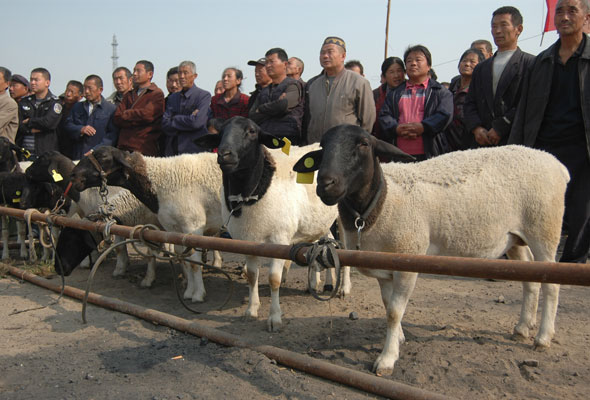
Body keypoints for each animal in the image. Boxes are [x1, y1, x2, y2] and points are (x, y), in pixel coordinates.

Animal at [71, 145, 224, 302]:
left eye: (103, 156)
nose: (73, 175)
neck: (159, 182)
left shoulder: (192, 225)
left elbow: (193, 262)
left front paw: (198, 294)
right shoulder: (174, 228)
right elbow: (185, 260)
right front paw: (188, 292)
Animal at [194, 116, 344, 332]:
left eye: (251, 132)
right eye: (221, 133)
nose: (224, 154)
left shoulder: (278, 238)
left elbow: (274, 279)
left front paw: (274, 318)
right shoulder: (247, 241)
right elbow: (252, 275)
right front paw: (251, 310)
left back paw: (343, 288)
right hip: (318, 222)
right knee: (324, 244)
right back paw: (320, 284)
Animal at [294, 124, 572, 376]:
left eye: (363, 143)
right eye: (322, 148)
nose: (325, 184)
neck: (381, 201)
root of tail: (557, 163)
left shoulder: (408, 258)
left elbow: (394, 312)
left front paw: (387, 358)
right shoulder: (385, 266)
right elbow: (387, 305)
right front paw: (399, 338)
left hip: (544, 227)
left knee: (552, 285)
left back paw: (543, 337)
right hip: (513, 238)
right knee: (531, 280)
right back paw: (523, 327)